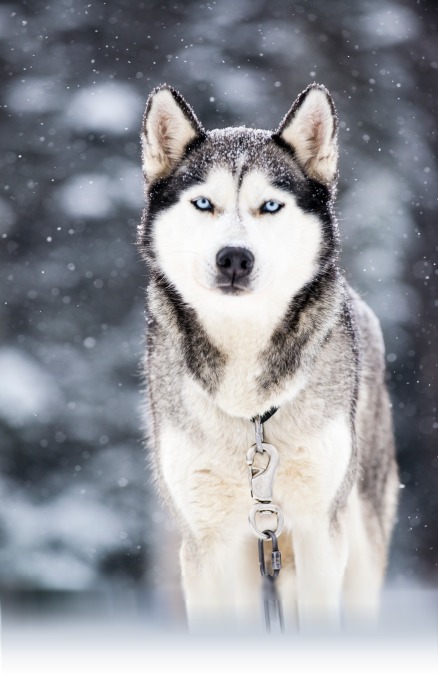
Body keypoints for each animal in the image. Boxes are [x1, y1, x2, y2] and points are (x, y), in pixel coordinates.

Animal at [139, 82, 398, 628]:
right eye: (203, 203)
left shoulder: (320, 531)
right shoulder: (206, 544)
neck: (250, 409)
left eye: (271, 207)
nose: (234, 258)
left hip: (358, 545)